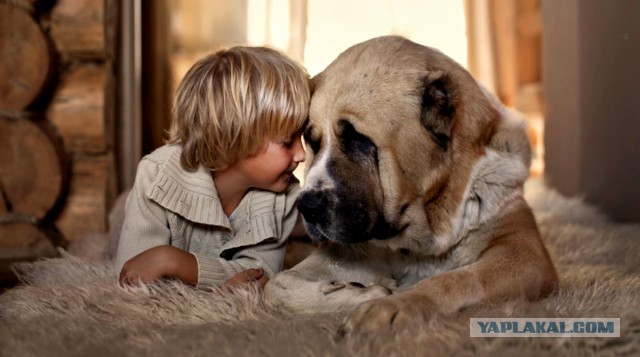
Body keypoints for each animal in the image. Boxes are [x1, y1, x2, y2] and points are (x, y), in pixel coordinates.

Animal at [262, 36, 556, 336]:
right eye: (312, 141)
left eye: (359, 140)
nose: (307, 205)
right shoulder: (347, 250)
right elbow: (275, 286)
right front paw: (367, 292)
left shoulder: (524, 253)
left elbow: (458, 279)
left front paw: (394, 304)